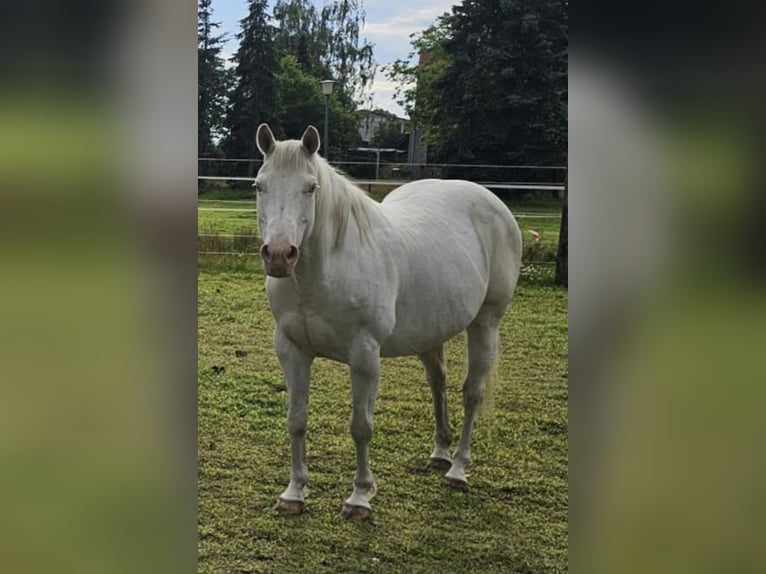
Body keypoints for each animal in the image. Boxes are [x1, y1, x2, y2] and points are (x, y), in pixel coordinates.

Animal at [254, 126, 520, 520]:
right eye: (259, 185)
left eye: (311, 187)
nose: (278, 255)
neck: (324, 272)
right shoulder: (292, 351)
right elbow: (296, 420)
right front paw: (293, 493)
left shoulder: (365, 356)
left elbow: (361, 426)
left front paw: (360, 498)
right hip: (431, 332)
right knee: (437, 382)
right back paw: (440, 453)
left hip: (485, 323)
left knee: (472, 393)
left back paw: (457, 470)